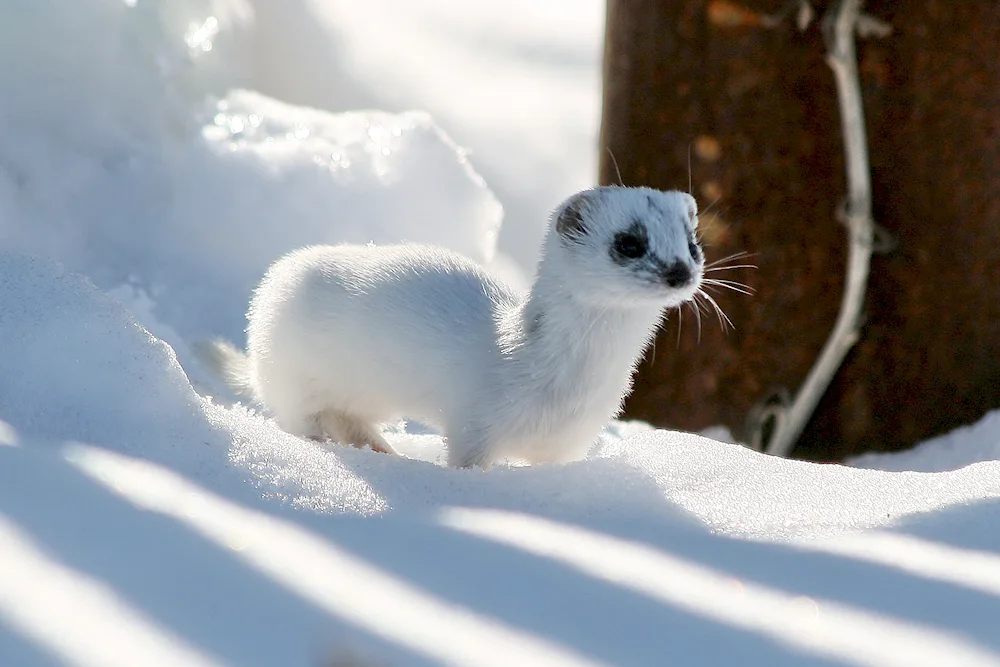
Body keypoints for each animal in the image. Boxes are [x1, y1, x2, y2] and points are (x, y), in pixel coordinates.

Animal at [199, 187, 708, 470]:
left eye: (693, 244)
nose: (679, 272)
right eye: (629, 242)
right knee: (303, 418)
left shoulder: (573, 442)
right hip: (291, 371)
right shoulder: (475, 421)